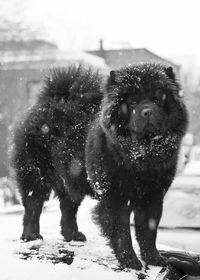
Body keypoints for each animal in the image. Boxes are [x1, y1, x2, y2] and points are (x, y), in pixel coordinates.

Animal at [11, 63, 188, 270]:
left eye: (157, 99)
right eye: (133, 102)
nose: (147, 111)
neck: (141, 156)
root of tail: (47, 102)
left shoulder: (152, 196)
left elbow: (148, 231)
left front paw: (154, 259)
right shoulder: (115, 198)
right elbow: (122, 232)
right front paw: (130, 260)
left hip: (72, 178)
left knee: (67, 208)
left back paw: (73, 235)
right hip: (35, 174)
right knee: (33, 206)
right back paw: (31, 236)